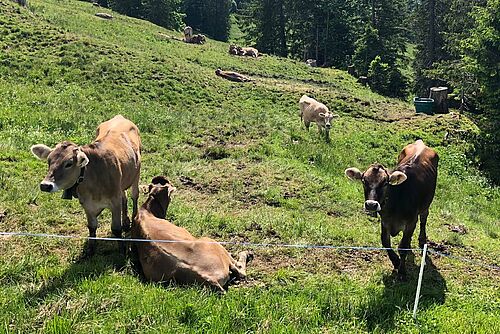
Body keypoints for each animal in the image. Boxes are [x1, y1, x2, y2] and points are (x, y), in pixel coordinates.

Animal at [31, 115, 141, 256]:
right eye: (49, 161)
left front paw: (122, 251)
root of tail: (120, 117)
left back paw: (133, 218)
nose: (45, 185)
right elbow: (92, 227)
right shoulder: (87, 204)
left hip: (136, 174)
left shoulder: (114, 201)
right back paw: (126, 222)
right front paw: (90, 251)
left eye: (69, 163)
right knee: (125, 197)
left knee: (134, 196)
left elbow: (116, 229)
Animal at [344, 139, 438, 280]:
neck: (396, 203)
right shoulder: (385, 221)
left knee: (424, 217)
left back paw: (422, 239)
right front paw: (396, 262)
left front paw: (402, 272)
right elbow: (385, 242)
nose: (371, 205)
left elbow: (402, 247)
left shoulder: (411, 222)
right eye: (364, 181)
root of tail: (421, 143)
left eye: (385, 183)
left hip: (426, 204)